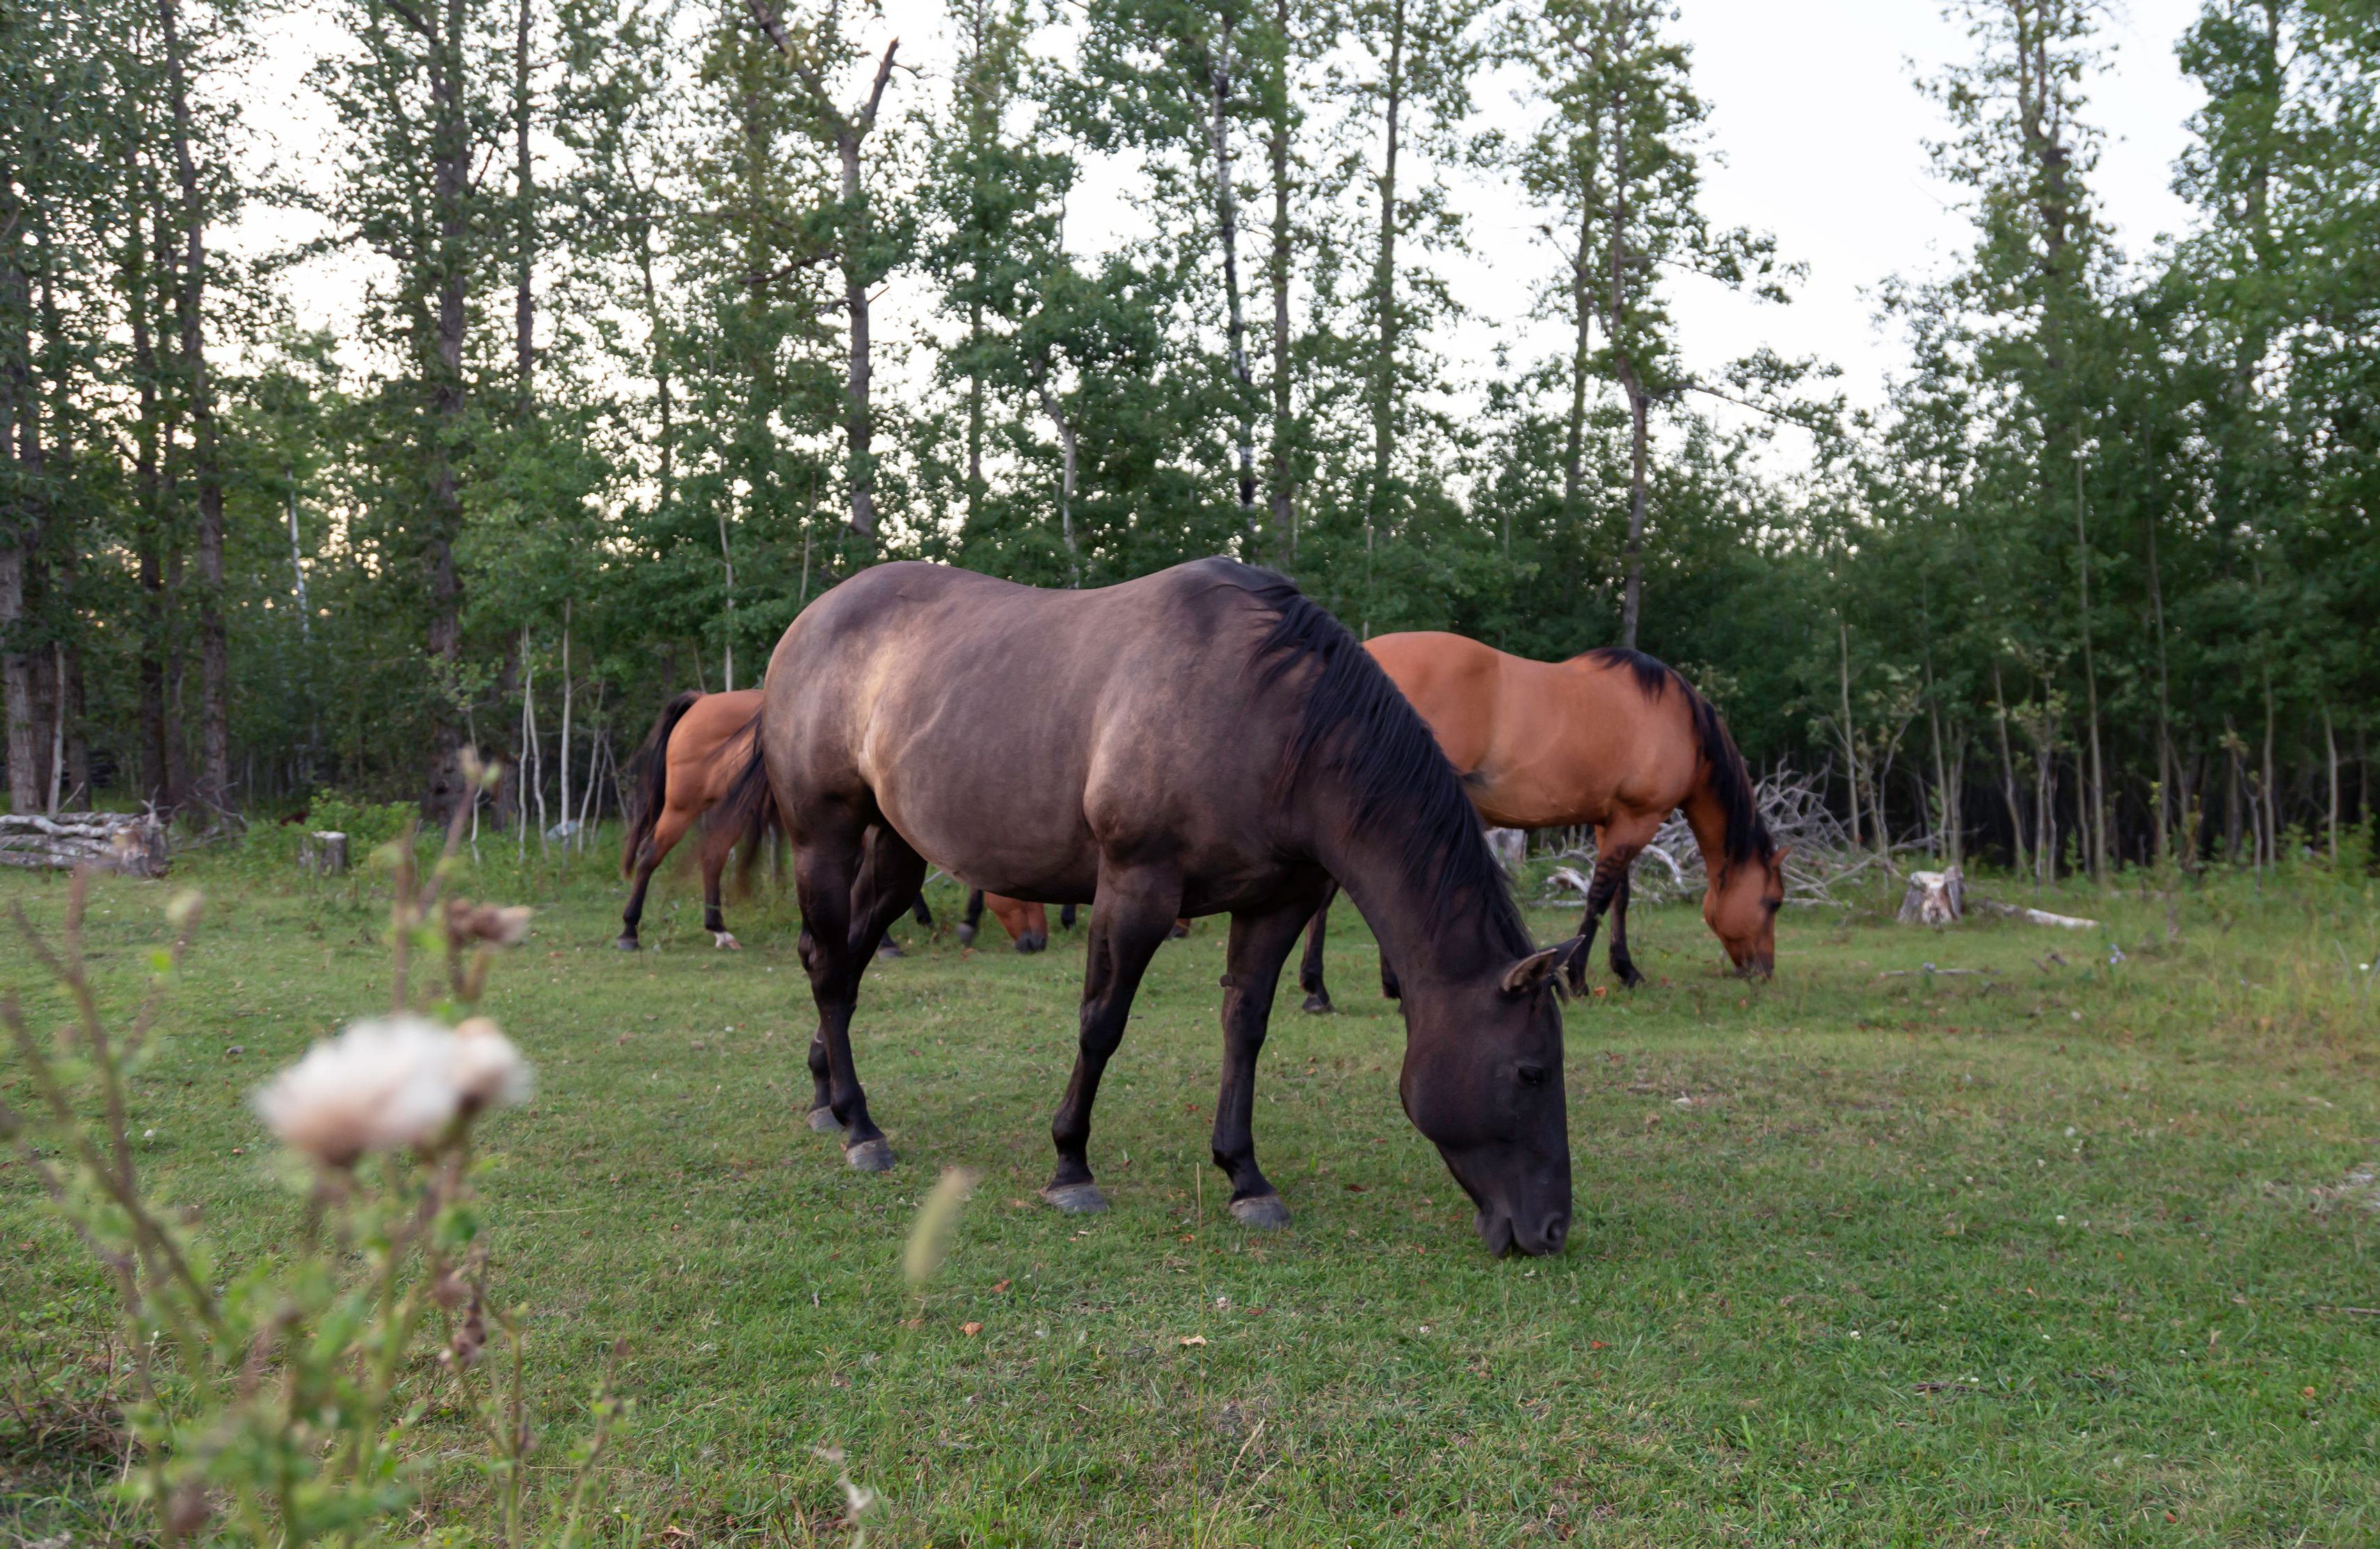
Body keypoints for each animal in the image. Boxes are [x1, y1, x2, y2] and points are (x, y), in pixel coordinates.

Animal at [710, 558, 1578, 1256]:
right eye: (1531, 1072)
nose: (1551, 1229)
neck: (1267, 715)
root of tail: (811, 623)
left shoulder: (1277, 902)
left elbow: (1245, 1028)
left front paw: (1245, 1176)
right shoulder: (1136, 890)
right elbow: (1102, 1023)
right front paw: (1070, 1166)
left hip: (896, 849)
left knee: (846, 957)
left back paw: (826, 1097)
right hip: (823, 836)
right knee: (828, 963)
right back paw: (860, 1127)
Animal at [1297, 636, 1784, 1013]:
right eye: (1774, 902)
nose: (1763, 971)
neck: (1676, 720)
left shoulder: (1614, 821)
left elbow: (1620, 897)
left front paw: (1626, 970)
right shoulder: (1639, 819)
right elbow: (1599, 898)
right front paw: (1580, 979)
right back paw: (1319, 991)